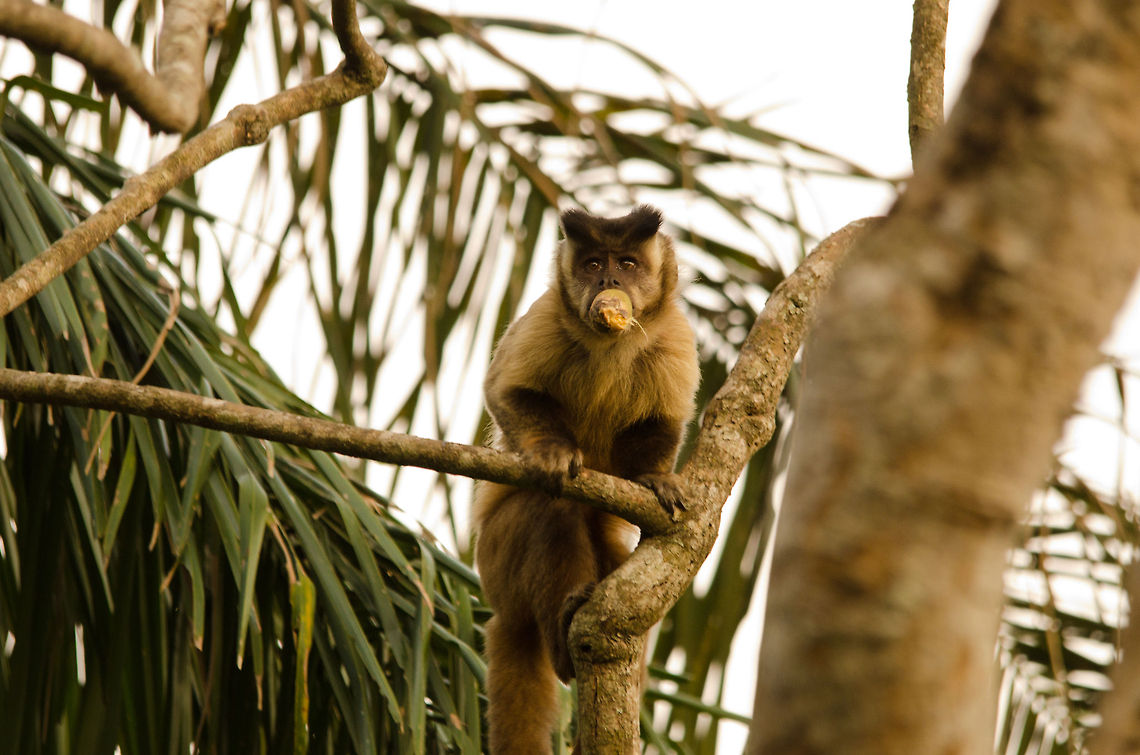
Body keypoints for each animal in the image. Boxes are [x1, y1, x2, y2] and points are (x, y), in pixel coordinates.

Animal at [473, 205, 700, 754]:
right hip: (495, 557)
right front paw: (552, 452)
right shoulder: (543, 319)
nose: (609, 281)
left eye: (627, 263)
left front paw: (654, 478)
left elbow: (662, 424)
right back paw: (561, 645)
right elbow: (506, 391)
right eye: (594, 262)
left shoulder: (675, 337)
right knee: (552, 511)